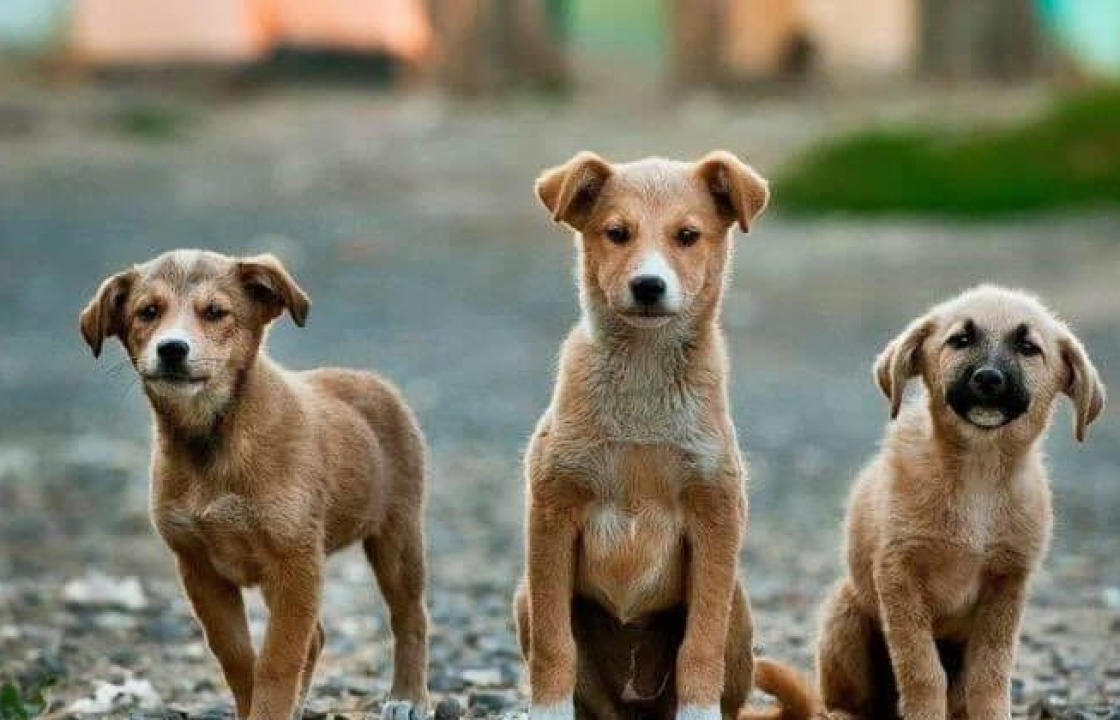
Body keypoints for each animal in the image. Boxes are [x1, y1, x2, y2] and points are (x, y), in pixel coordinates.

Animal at [81, 251, 430, 720]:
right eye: (148, 312)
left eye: (216, 313)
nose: (171, 349)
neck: (213, 439)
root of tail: (374, 381)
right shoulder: (200, 568)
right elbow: (238, 656)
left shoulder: (296, 562)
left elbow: (278, 661)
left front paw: (270, 708)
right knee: (317, 636)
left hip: (397, 536)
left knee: (410, 617)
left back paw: (408, 697)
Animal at [512, 151, 770, 720]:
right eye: (617, 233)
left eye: (688, 235)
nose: (648, 285)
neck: (643, 381)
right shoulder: (552, 512)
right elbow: (554, 645)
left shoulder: (716, 515)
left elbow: (700, 645)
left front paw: (699, 713)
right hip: (524, 597)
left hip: (739, 607)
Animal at [748, 284, 1106, 720]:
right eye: (960, 340)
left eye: (1028, 347)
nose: (989, 379)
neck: (977, 475)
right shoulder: (899, 575)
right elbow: (921, 667)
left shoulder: (1007, 584)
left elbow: (990, 672)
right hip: (844, 611)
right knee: (843, 700)